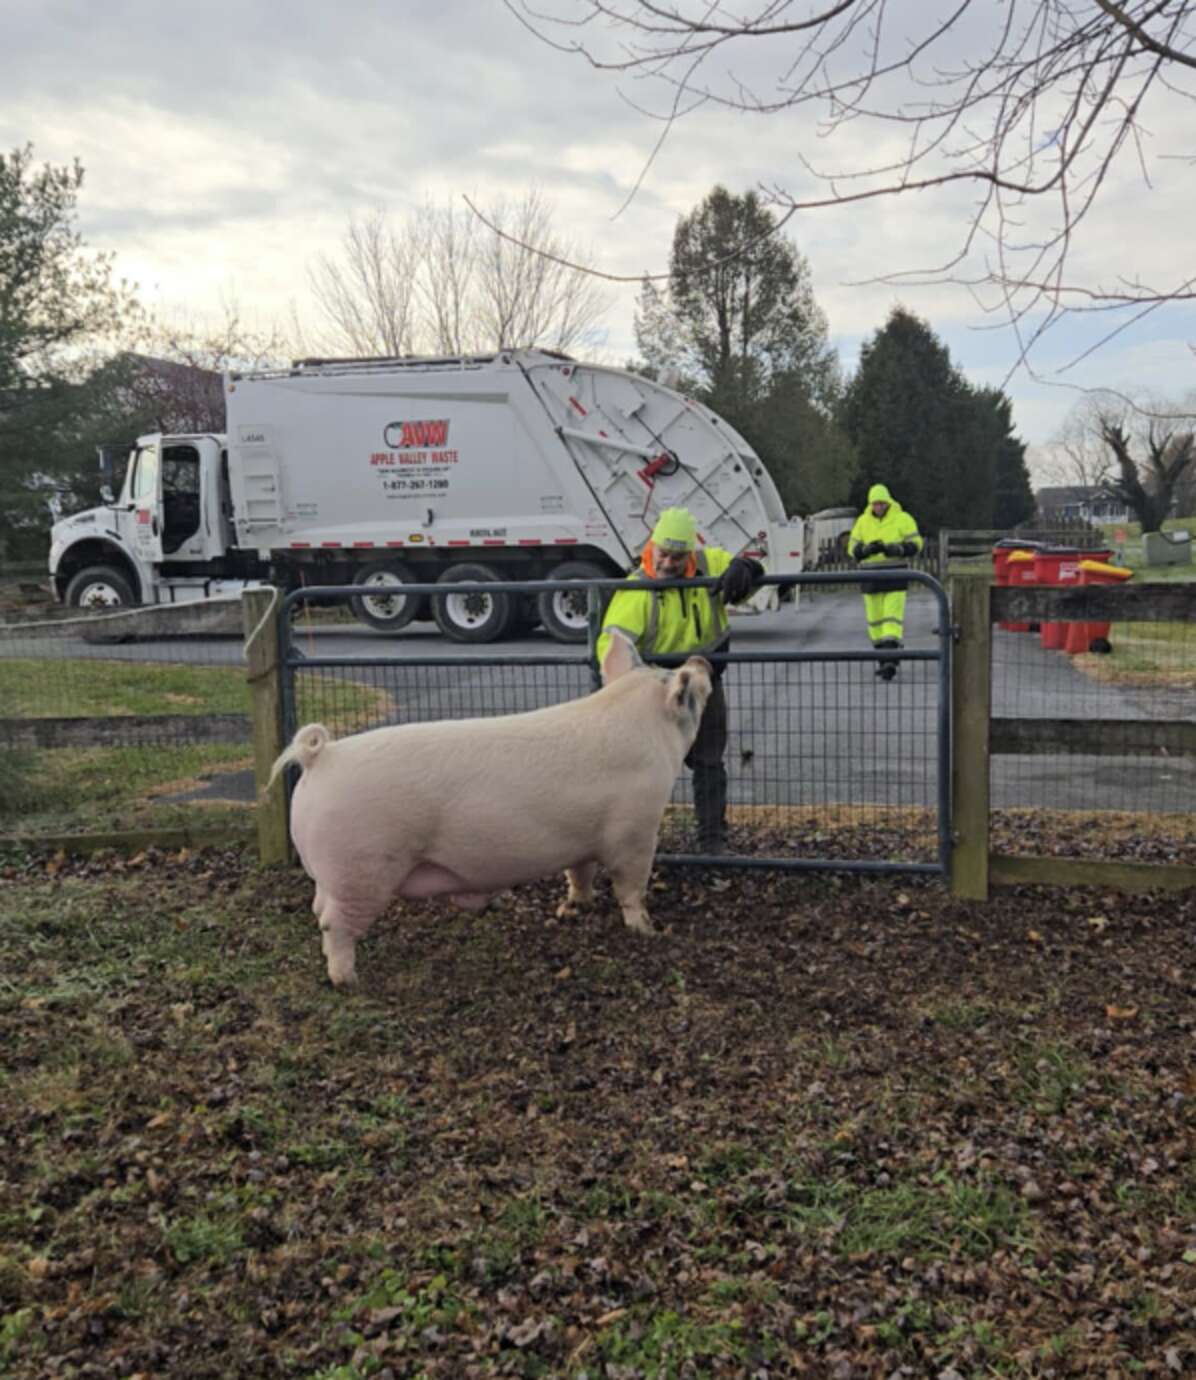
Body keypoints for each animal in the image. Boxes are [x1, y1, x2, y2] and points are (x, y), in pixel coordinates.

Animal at [267, 634, 713, 987]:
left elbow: (580, 872)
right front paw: (648, 932)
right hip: (361, 869)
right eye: (688, 690)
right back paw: (347, 981)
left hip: (335, 874)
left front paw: (573, 907)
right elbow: (631, 884)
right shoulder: (637, 829)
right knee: (334, 924)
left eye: (663, 668)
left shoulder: (583, 838)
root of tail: (322, 758)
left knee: (318, 910)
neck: (645, 725)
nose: (700, 660)